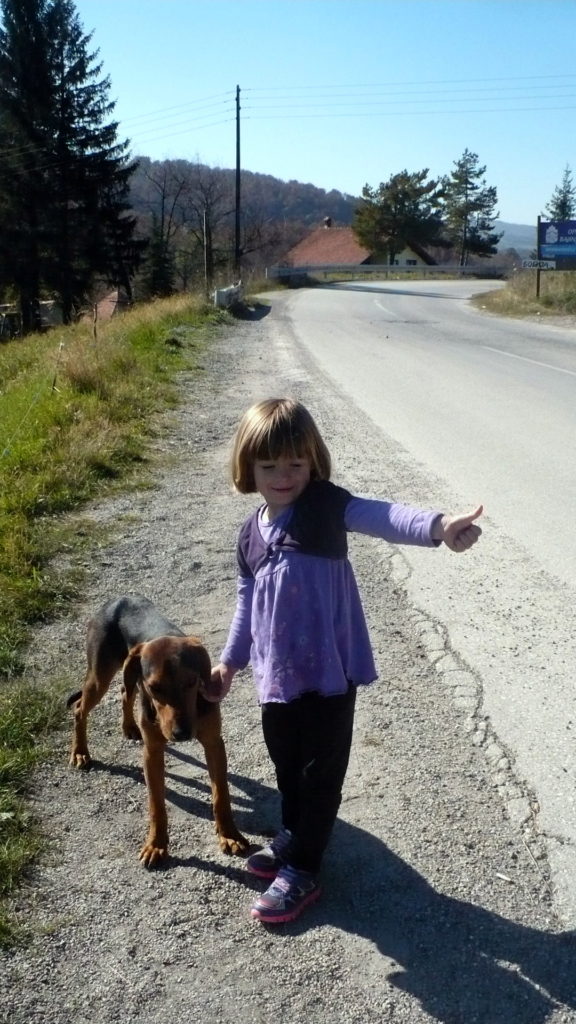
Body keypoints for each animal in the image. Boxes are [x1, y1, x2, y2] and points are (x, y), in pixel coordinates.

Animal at [66, 598, 247, 868]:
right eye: (155, 688)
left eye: (192, 682)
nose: (182, 734)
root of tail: (116, 600)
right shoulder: (152, 751)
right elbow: (156, 805)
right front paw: (156, 845)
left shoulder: (214, 743)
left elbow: (221, 795)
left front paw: (229, 835)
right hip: (100, 677)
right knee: (80, 708)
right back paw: (80, 752)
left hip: (126, 673)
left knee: (125, 691)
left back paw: (129, 726)